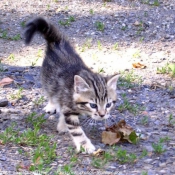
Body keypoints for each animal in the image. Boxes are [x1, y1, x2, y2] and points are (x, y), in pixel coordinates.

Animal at [24, 17, 119, 154]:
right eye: (93, 105)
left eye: (108, 104)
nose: (102, 115)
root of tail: (57, 42)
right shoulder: (67, 105)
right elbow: (76, 130)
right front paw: (85, 146)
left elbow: (64, 115)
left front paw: (62, 126)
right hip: (48, 79)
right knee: (51, 92)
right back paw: (51, 105)